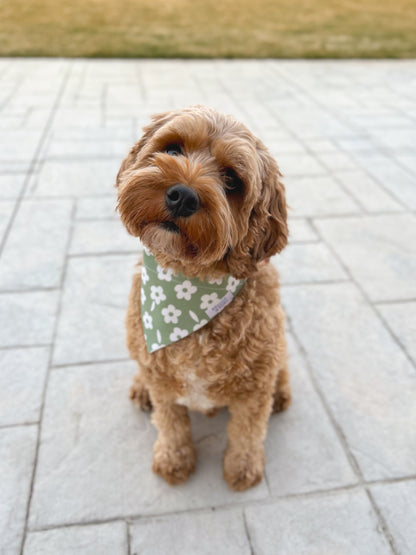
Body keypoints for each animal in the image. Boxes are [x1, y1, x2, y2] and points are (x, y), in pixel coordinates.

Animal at [115, 104, 290, 490]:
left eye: (232, 180)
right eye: (173, 148)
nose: (182, 195)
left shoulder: (254, 388)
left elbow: (246, 431)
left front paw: (243, 468)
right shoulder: (163, 382)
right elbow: (172, 424)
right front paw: (174, 460)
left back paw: (282, 391)